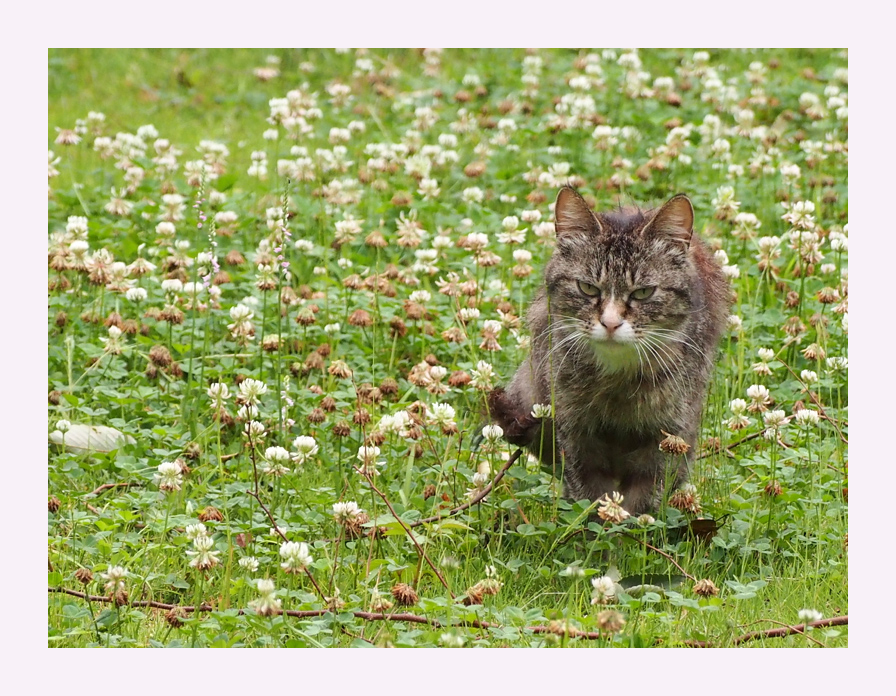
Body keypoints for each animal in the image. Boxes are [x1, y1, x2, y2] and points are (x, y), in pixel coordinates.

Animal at [490, 188, 728, 512]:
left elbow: (643, 501)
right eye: (588, 288)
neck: (618, 380)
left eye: (643, 292)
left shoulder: (666, 434)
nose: (611, 323)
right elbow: (588, 495)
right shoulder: (576, 433)